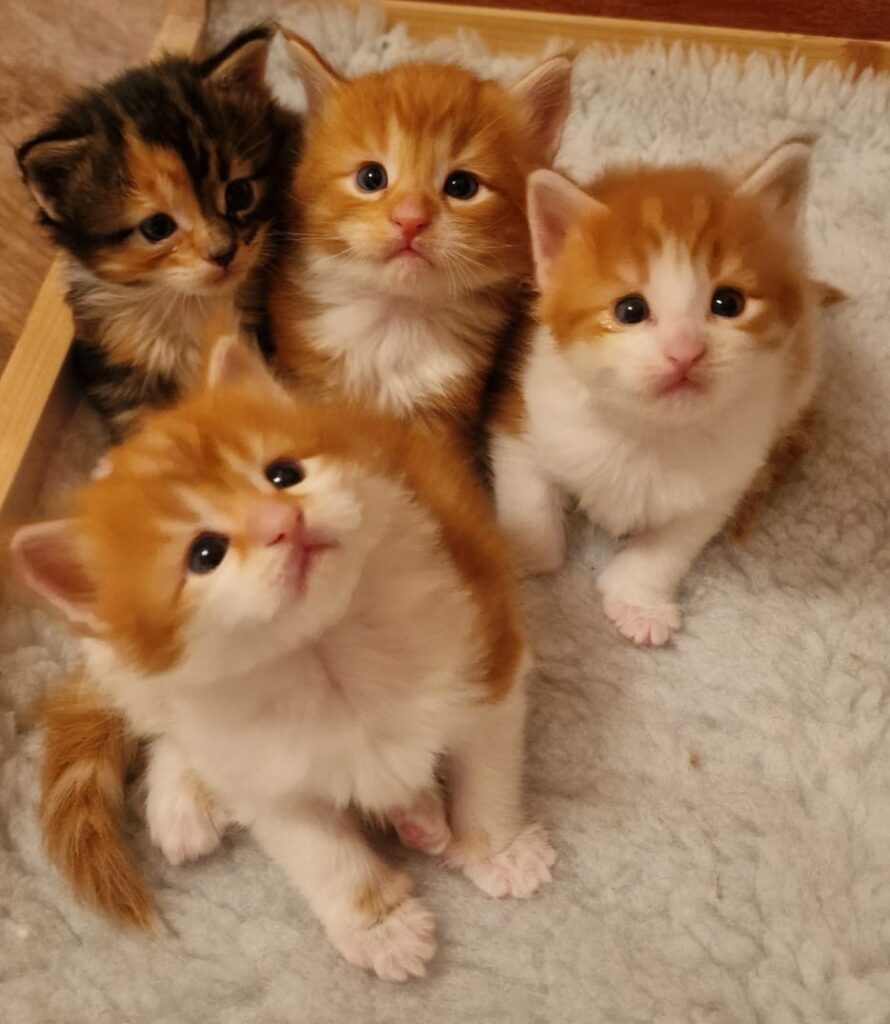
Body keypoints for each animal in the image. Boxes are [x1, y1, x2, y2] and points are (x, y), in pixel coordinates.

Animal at [13, 334, 555, 981]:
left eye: (283, 474)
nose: (283, 521)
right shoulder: (265, 772)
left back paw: (417, 810)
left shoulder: (482, 631)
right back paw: (184, 802)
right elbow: (318, 850)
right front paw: (381, 927)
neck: (321, 653)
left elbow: (487, 764)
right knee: (168, 727)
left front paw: (500, 850)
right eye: (204, 554)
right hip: (123, 668)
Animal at [490, 137, 824, 646]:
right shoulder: (524, 411)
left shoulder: (729, 476)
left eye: (728, 303)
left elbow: (672, 544)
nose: (684, 352)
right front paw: (520, 556)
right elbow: (532, 510)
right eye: (630, 310)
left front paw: (639, 603)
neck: (647, 432)